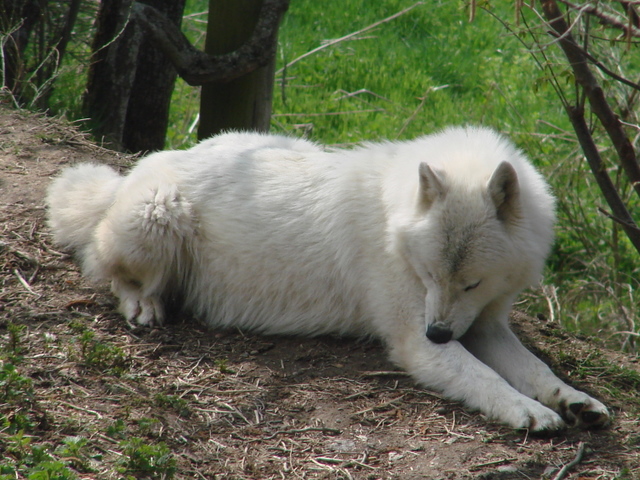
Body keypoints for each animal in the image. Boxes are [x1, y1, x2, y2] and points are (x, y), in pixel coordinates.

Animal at [46, 126, 609, 431]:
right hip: (158, 214)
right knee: (104, 268)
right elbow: (490, 379)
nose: (438, 333)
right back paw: (142, 305)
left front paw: (574, 401)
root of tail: (137, 169)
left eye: (471, 284)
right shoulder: (416, 343)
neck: (395, 221)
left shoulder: (485, 324)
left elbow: (537, 370)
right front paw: (527, 412)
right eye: (429, 274)